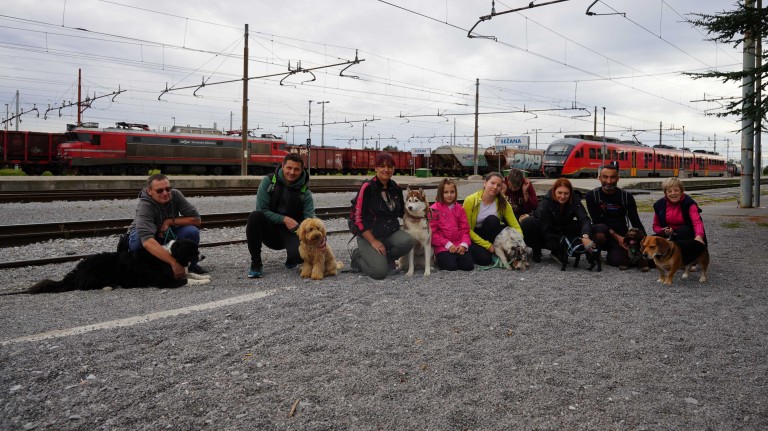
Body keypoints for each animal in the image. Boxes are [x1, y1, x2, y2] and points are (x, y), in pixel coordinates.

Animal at [24, 238, 210, 296]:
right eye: (193, 250)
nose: (203, 256)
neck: (172, 255)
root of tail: (78, 269)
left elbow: (190, 274)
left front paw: (204, 277)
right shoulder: (165, 281)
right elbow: (186, 280)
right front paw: (201, 282)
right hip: (98, 274)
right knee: (84, 285)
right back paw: (108, 286)